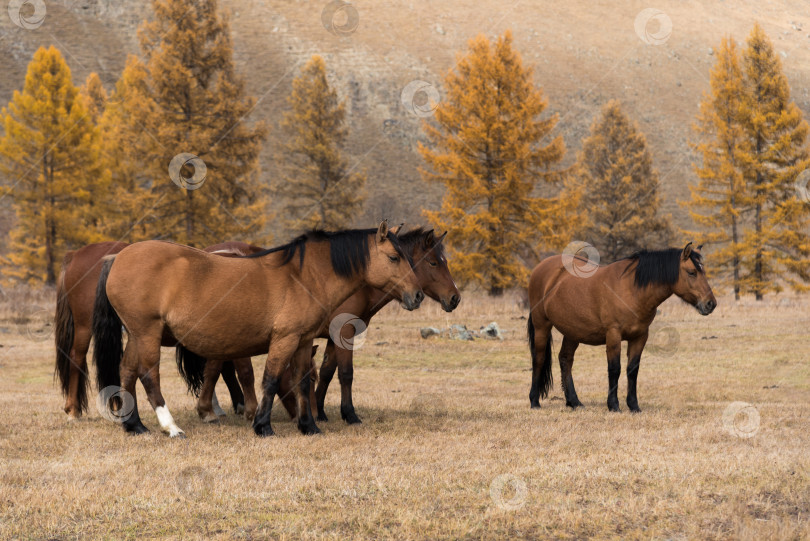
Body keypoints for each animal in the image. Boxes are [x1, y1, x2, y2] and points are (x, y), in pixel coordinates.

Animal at [93, 221, 422, 436]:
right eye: (394, 257)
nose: (417, 295)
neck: (303, 275)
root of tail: (118, 257)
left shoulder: (303, 342)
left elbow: (302, 382)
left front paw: (309, 426)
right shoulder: (284, 340)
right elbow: (271, 380)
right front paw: (263, 425)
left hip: (137, 336)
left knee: (127, 372)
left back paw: (134, 425)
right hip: (147, 334)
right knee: (149, 376)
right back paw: (170, 427)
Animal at [185, 227, 458, 422]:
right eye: (434, 262)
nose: (455, 297)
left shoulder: (331, 336)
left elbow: (327, 370)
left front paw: (320, 410)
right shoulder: (343, 332)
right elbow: (345, 373)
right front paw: (349, 414)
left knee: (218, 367)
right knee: (228, 369)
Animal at [528, 243, 716, 412]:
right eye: (692, 272)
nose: (710, 304)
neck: (632, 289)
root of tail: (541, 268)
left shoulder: (640, 336)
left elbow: (632, 370)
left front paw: (634, 406)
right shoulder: (613, 334)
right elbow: (615, 369)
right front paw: (613, 405)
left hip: (573, 332)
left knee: (565, 360)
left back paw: (574, 402)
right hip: (542, 326)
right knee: (539, 359)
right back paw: (534, 402)